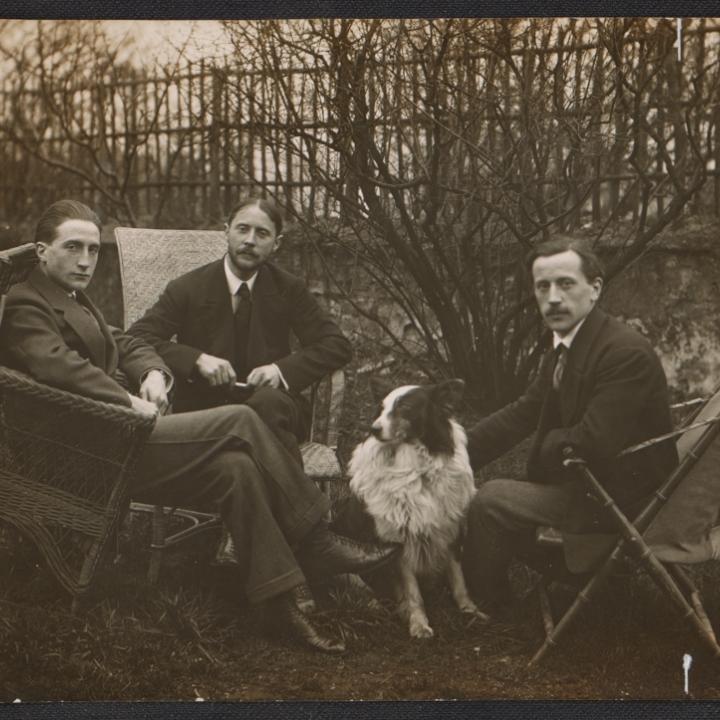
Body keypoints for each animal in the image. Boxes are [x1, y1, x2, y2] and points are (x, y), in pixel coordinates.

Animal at [340, 380, 486, 640]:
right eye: (381, 409)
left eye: (405, 408)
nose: (373, 429)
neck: (417, 468)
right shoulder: (399, 542)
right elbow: (412, 592)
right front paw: (418, 623)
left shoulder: (450, 529)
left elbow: (458, 578)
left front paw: (469, 609)